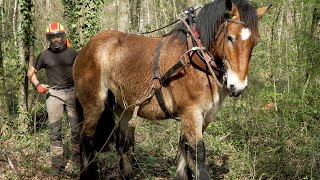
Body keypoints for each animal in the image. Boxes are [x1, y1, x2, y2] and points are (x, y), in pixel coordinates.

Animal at [73, 0, 270, 179]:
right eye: (230, 38)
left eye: (256, 41)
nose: (238, 86)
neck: (195, 60)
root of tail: (86, 48)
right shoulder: (191, 112)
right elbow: (198, 154)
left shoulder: (204, 116)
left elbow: (185, 152)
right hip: (94, 104)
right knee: (87, 138)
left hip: (125, 107)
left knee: (124, 145)